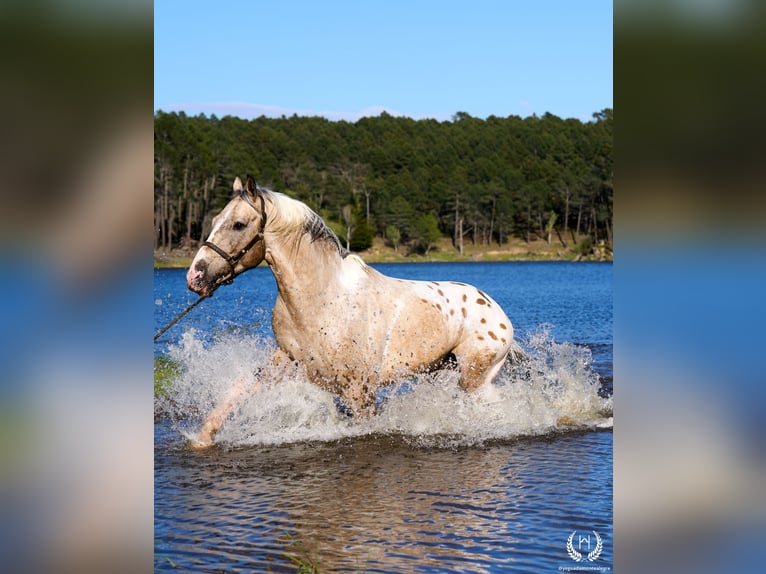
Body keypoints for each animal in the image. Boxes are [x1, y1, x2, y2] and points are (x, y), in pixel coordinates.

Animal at [186, 176, 524, 447]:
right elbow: (238, 389)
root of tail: (498, 313)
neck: (321, 299)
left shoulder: (359, 389)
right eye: (215, 220)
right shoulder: (287, 362)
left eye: (238, 224)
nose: (195, 276)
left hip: (473, 378)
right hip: (443, 373)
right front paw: (202, 438)